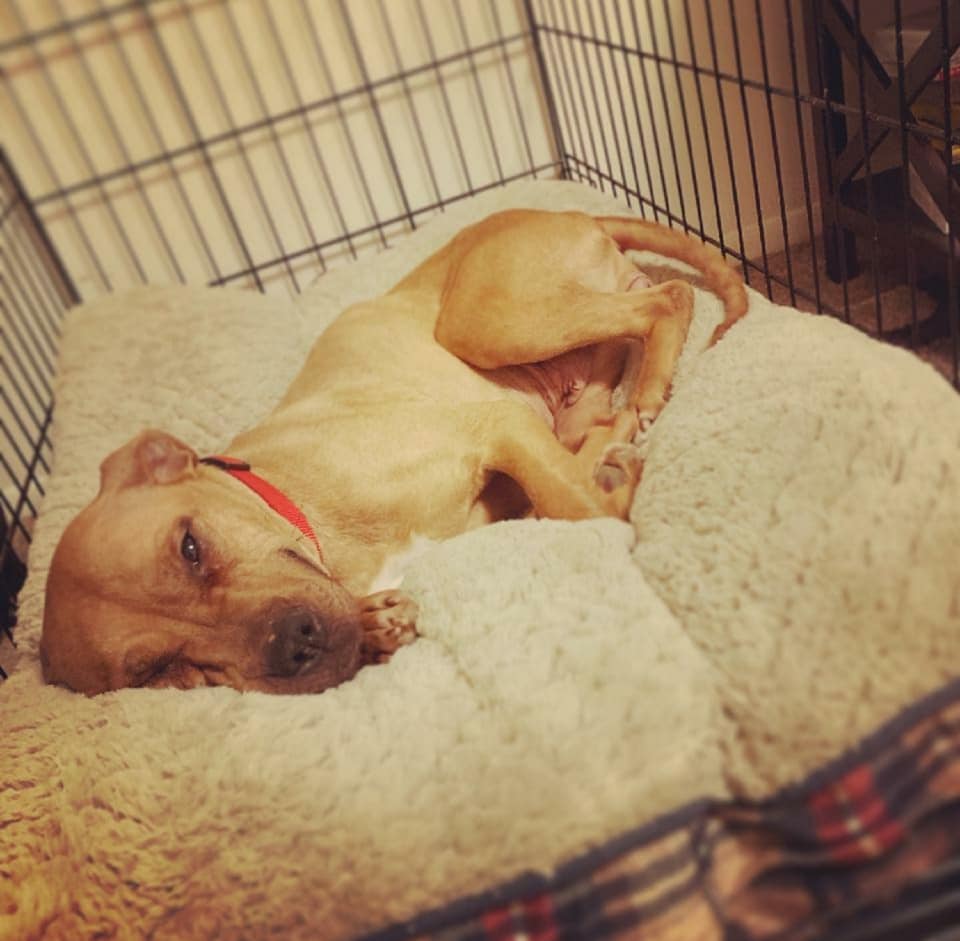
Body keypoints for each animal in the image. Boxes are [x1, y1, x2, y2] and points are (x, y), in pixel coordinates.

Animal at [41, 209, 748, 692]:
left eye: (190, 547)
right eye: (156, 671)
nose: (294, 647)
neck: (295, 501)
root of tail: (572, 212)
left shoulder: (495, 429)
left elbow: (581, 507)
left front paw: (619, 490)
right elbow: (560, 492)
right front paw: (376, 627)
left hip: (486, 321)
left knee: (667, 299)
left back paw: (651, 390)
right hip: (556, 372)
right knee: (610, 386)